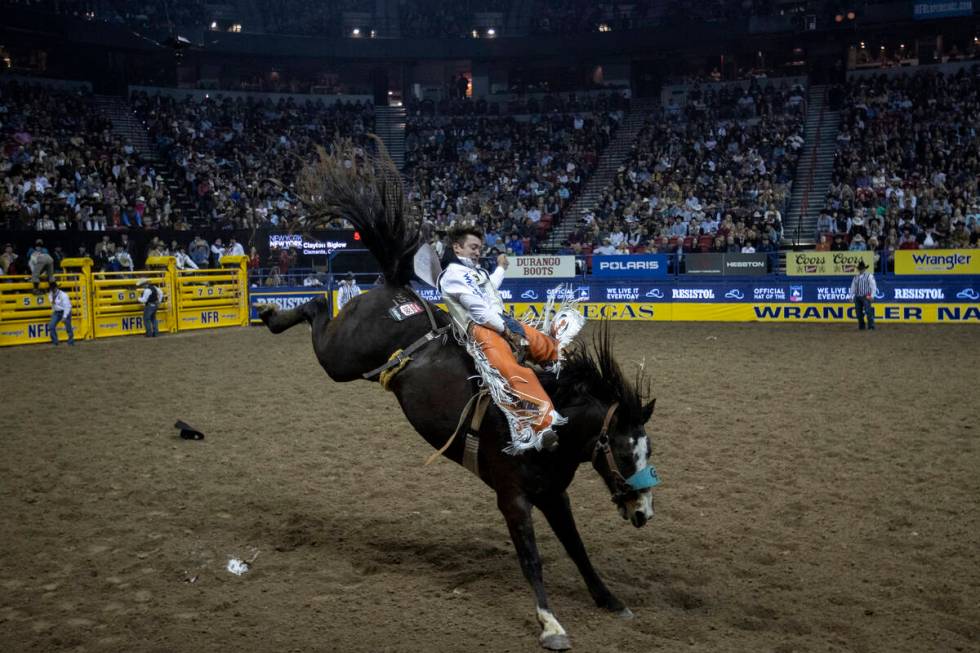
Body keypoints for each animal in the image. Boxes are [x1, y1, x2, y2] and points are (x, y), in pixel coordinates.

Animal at [256, 138, 664, 648]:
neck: (556, 433)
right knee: (315, 308)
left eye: (650, 451)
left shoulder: (554, 496)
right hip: (341, 358)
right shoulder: (513, 498)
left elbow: (577, 549)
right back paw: (273, 314)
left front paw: (609, 599)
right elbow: (532, 559)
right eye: (627, 453)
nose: (644, 512)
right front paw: (550, 623)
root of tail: (395, 284)